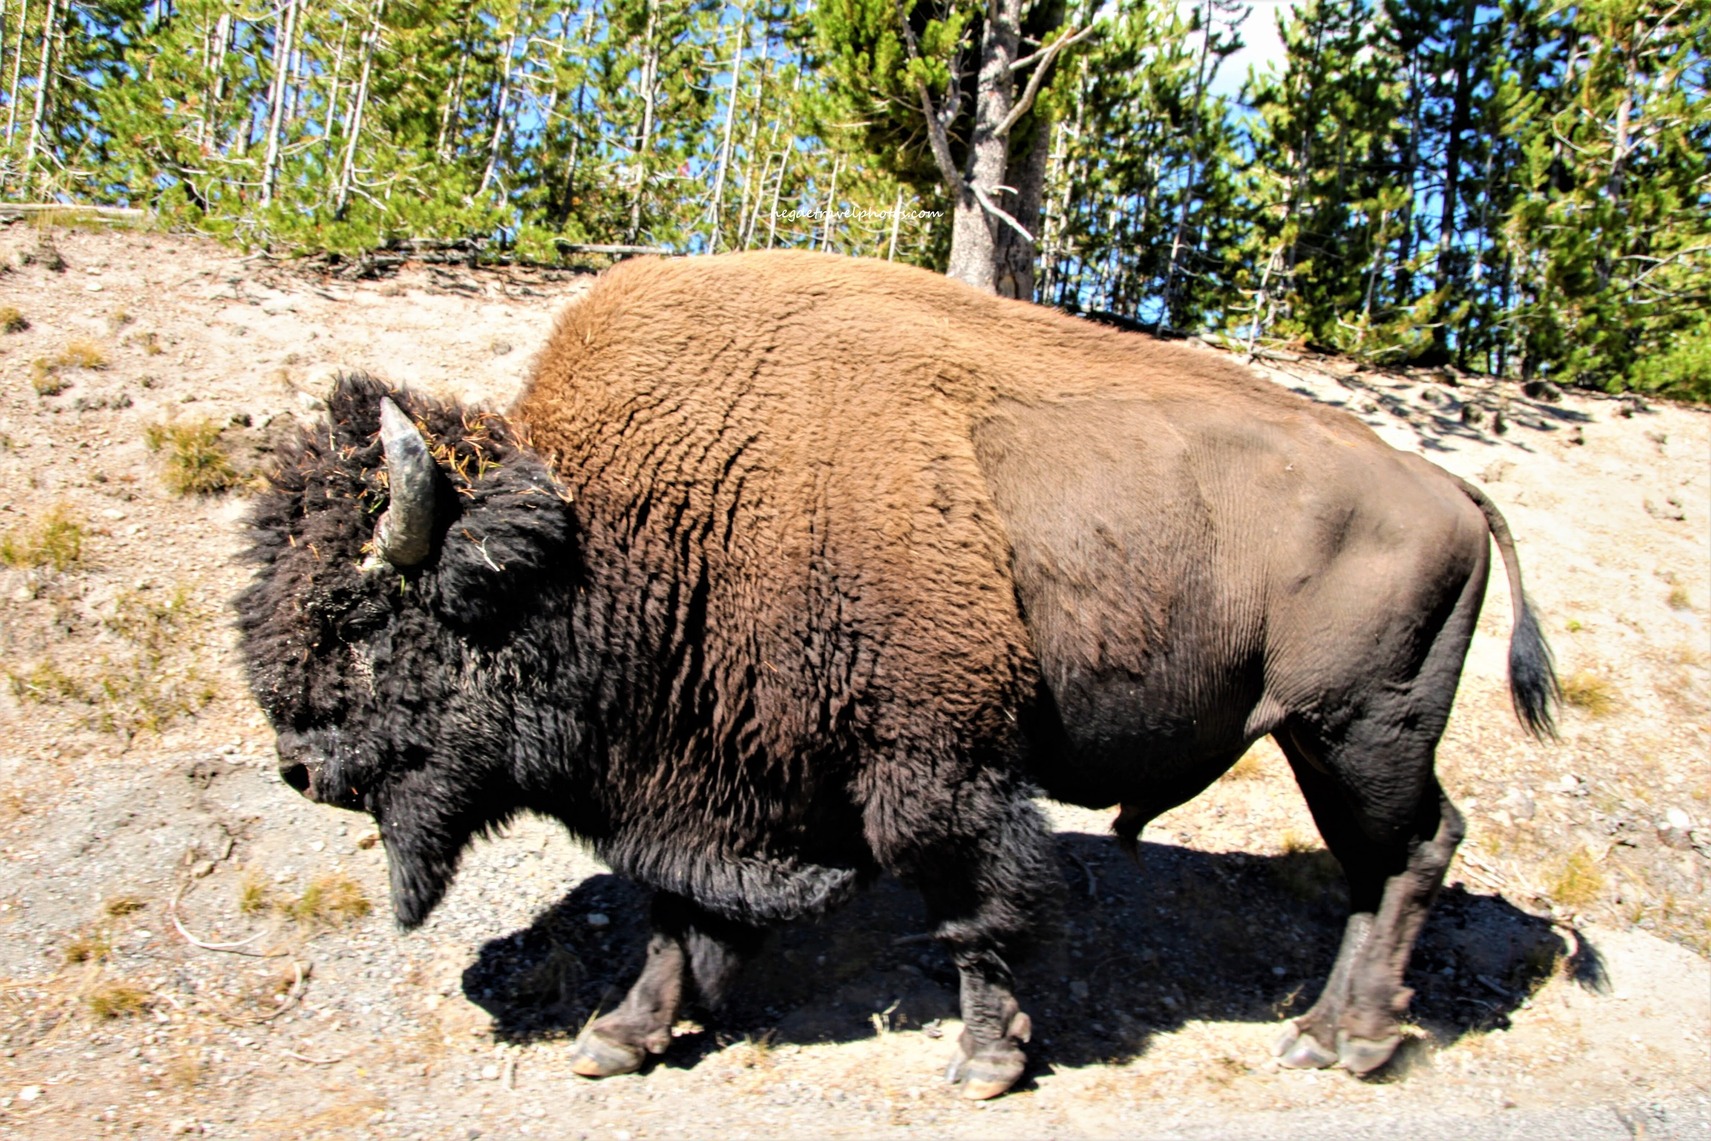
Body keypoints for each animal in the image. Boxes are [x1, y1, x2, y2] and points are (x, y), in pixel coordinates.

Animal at [238, 251, 1557, 1098]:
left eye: (361, 613)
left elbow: (976, 912)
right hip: (1327, 740)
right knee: (1378, 866)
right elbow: (679, 915)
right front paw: (621, 1036)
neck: (606, 529)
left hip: (1356, 729)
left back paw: (1354, 1044)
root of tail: (1447, 485)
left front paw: (984, 1063)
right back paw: (1323, 1034)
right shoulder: (717, 777)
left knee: (1410, 852)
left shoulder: (934, 771)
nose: (298, 767)